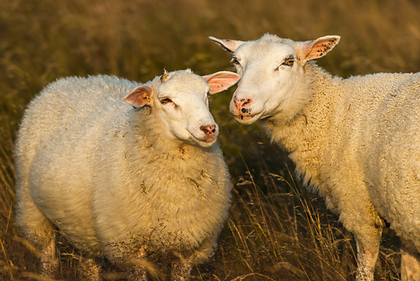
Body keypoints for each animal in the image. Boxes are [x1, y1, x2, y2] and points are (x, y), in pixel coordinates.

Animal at [13, 68, 240, 280]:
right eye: (166, 100)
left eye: (207, 94)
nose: (208, 129)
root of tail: (69, 80)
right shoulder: (129, 246)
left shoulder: (189, 248)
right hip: (33, 210)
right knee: (48, 256)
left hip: (83, 226)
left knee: (88, 266)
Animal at [212, 33, 420, 280]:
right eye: (236, 61)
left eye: (288, 62)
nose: (241, 102)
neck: (335, 114)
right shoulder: (400, 217)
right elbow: (409, 272)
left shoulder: (362, 210)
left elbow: (365, 266)